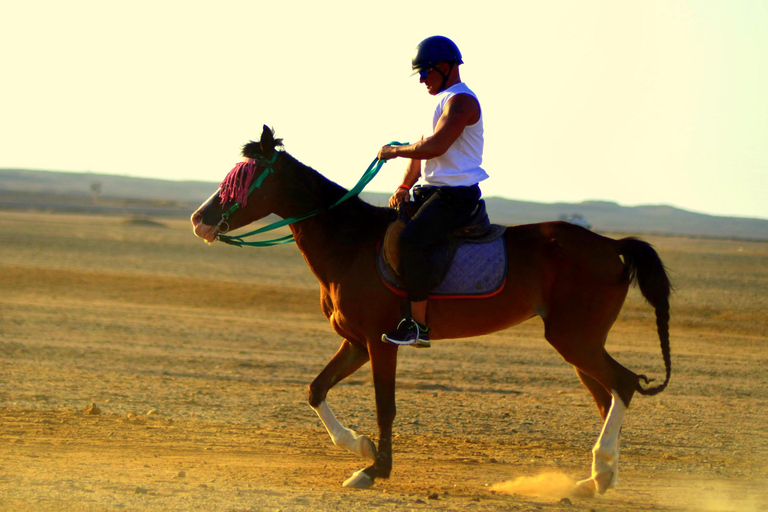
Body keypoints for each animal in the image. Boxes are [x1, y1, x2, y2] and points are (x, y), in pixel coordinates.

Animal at [192, 126, 672, 498]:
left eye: (243, 176)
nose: (199, 219)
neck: (351, 244)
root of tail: (610, 245)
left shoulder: (382, 342)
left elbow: (385, 406)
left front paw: (374, 470)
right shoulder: (357, 344)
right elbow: (316, 390)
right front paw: (361, 447)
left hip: (575, 340)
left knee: (623, 385)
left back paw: (600, 471)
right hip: (579, 343)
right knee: (608, 395)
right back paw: (596, 479)